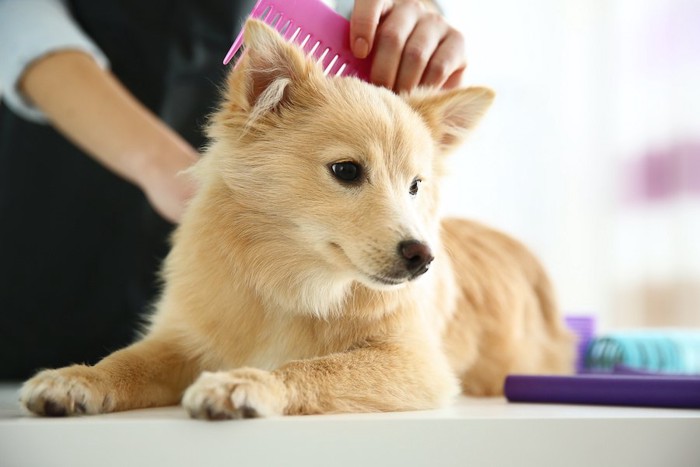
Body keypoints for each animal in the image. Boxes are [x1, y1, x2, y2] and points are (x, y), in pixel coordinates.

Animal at [20, 19, 576, 420]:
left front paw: (247, 382)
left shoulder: (415, 362)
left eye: (416, 186)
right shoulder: (182, 338)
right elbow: (127, 361)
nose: (423, 257)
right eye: (346, 171)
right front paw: (79, 378)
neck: (294, 281)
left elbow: (312, 368)